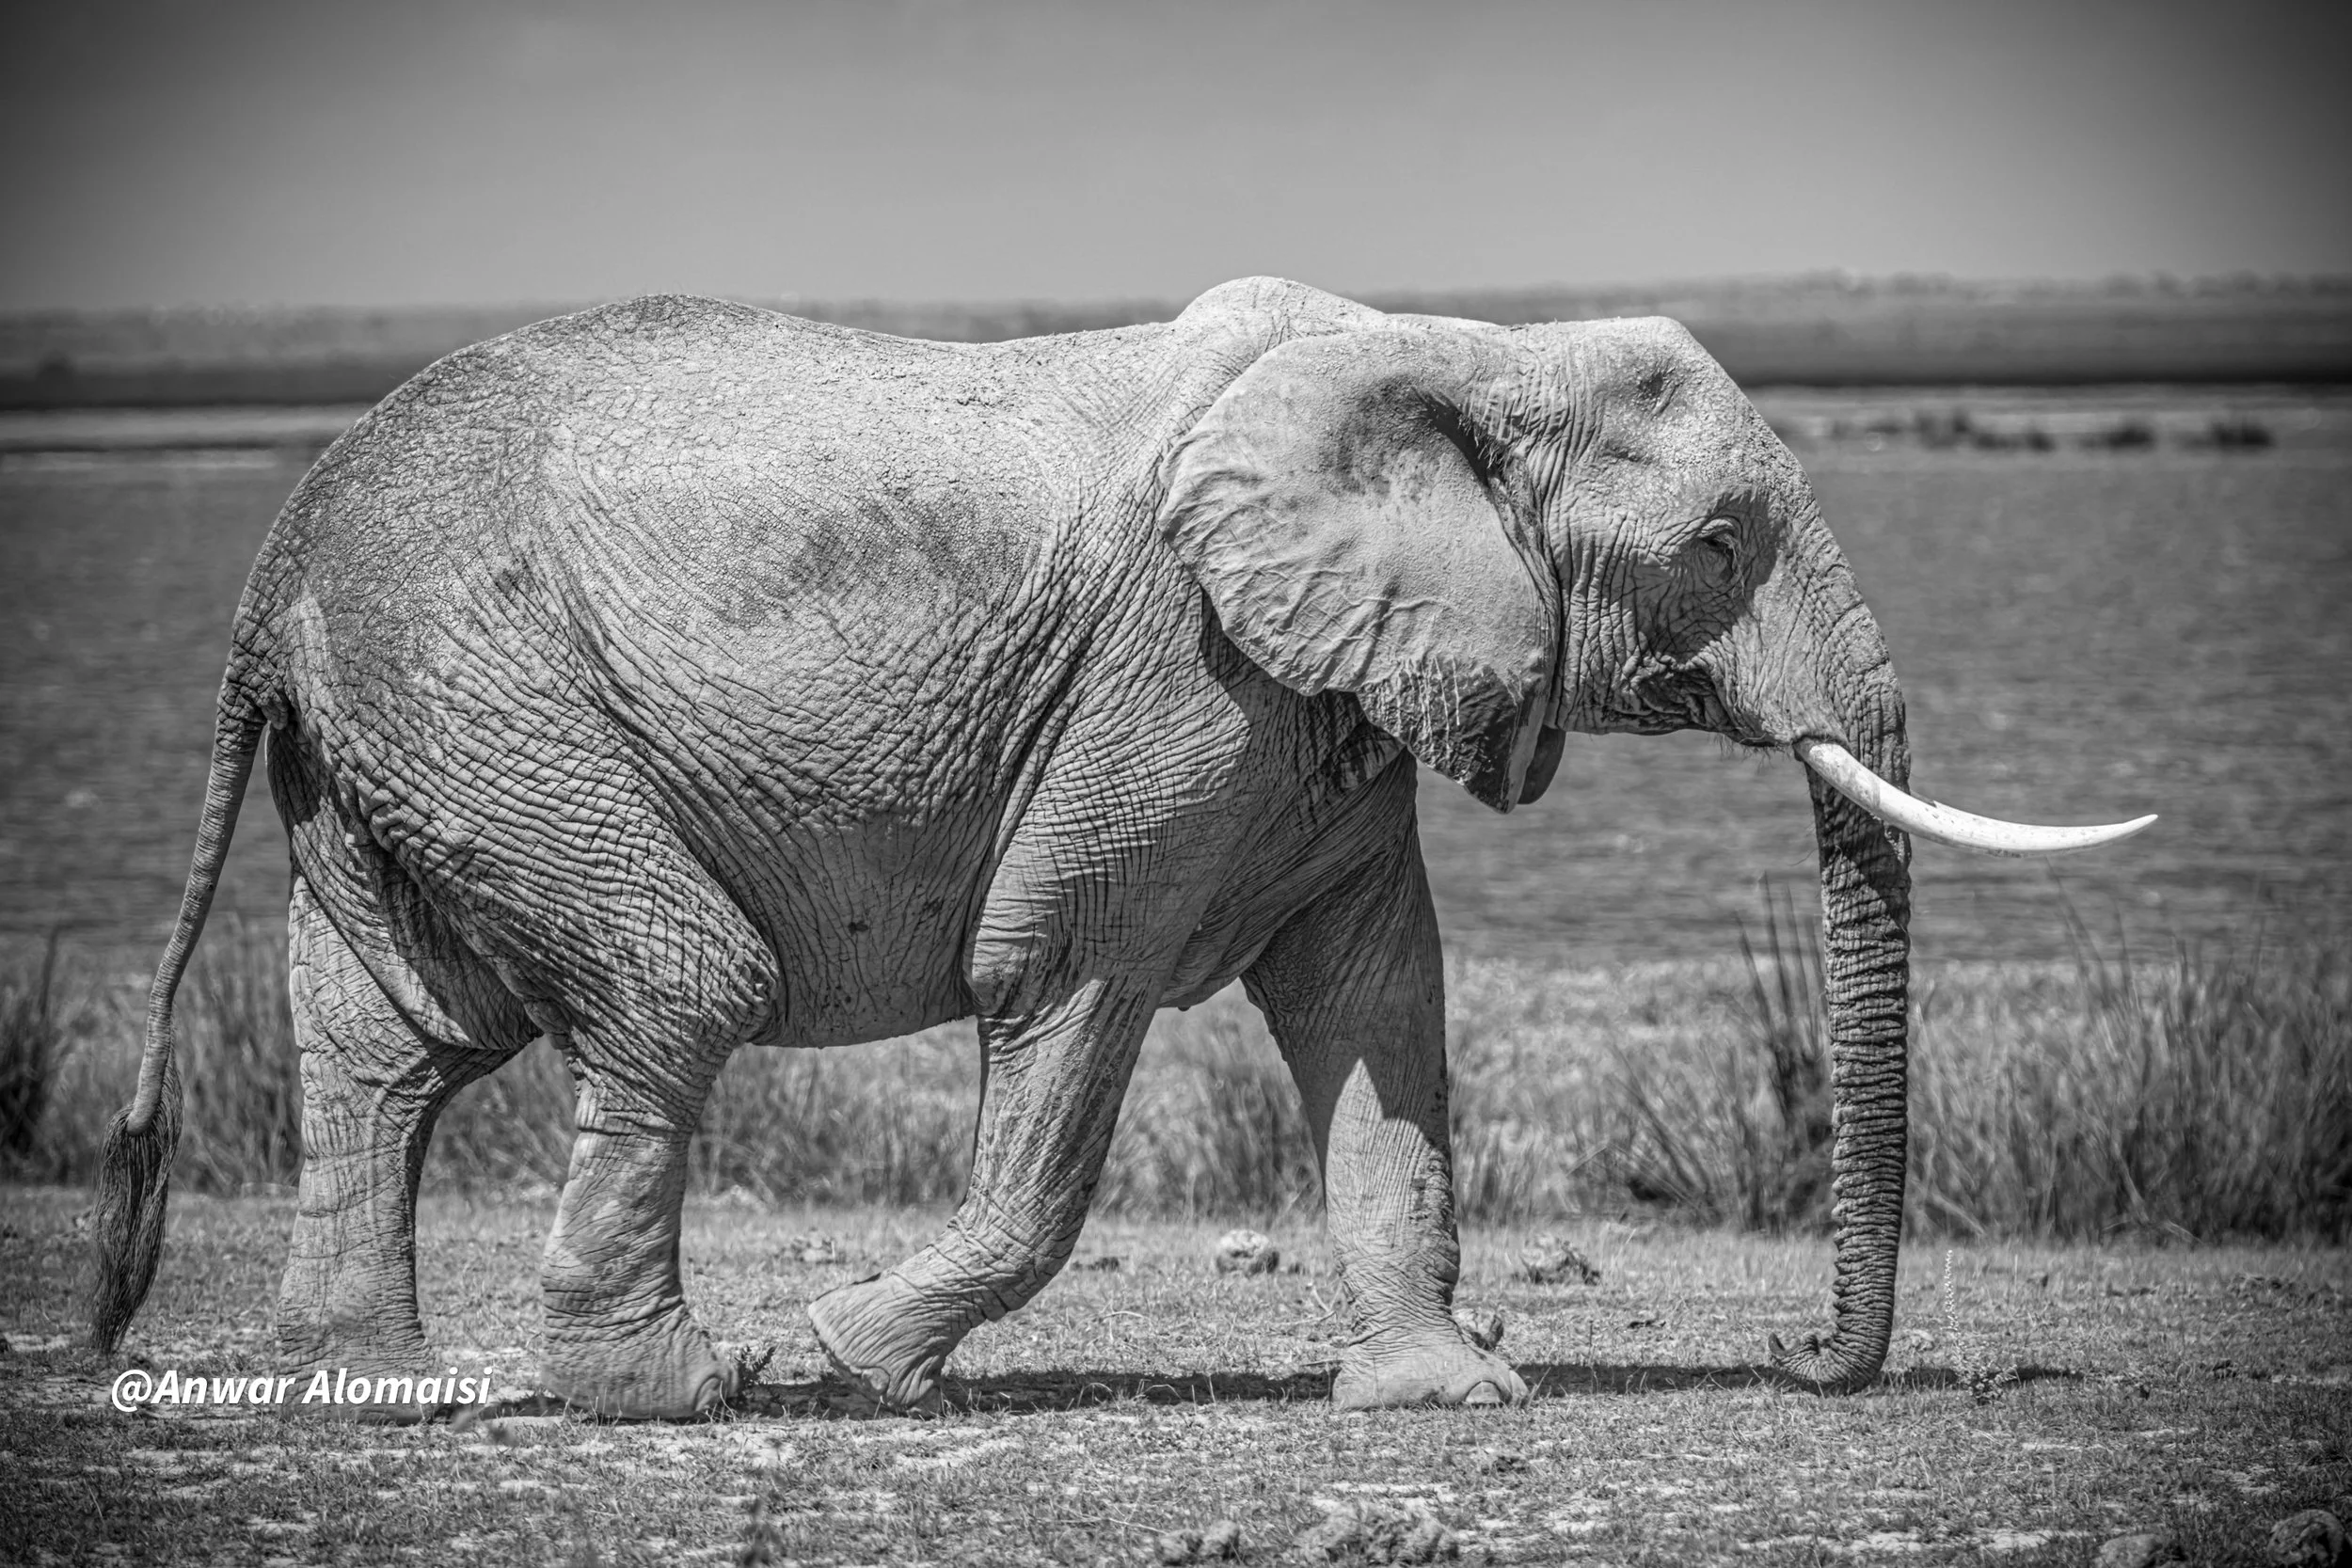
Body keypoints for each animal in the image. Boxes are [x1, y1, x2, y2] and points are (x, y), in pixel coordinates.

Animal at [86, 277, 2151, 1418]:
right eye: (1719, 547)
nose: (1801, 1359)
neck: (1457, 354)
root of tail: (279, 541)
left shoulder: (1323, 701)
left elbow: (1379, 1006)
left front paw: (1446, 1390)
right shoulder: (1181, 679)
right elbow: (1064, 976)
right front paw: (845, 1355)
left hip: (410, 729)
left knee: (384, 1037)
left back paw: (373, 1374)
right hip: (482, 688)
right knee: (673, 983)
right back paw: (678, 1387)